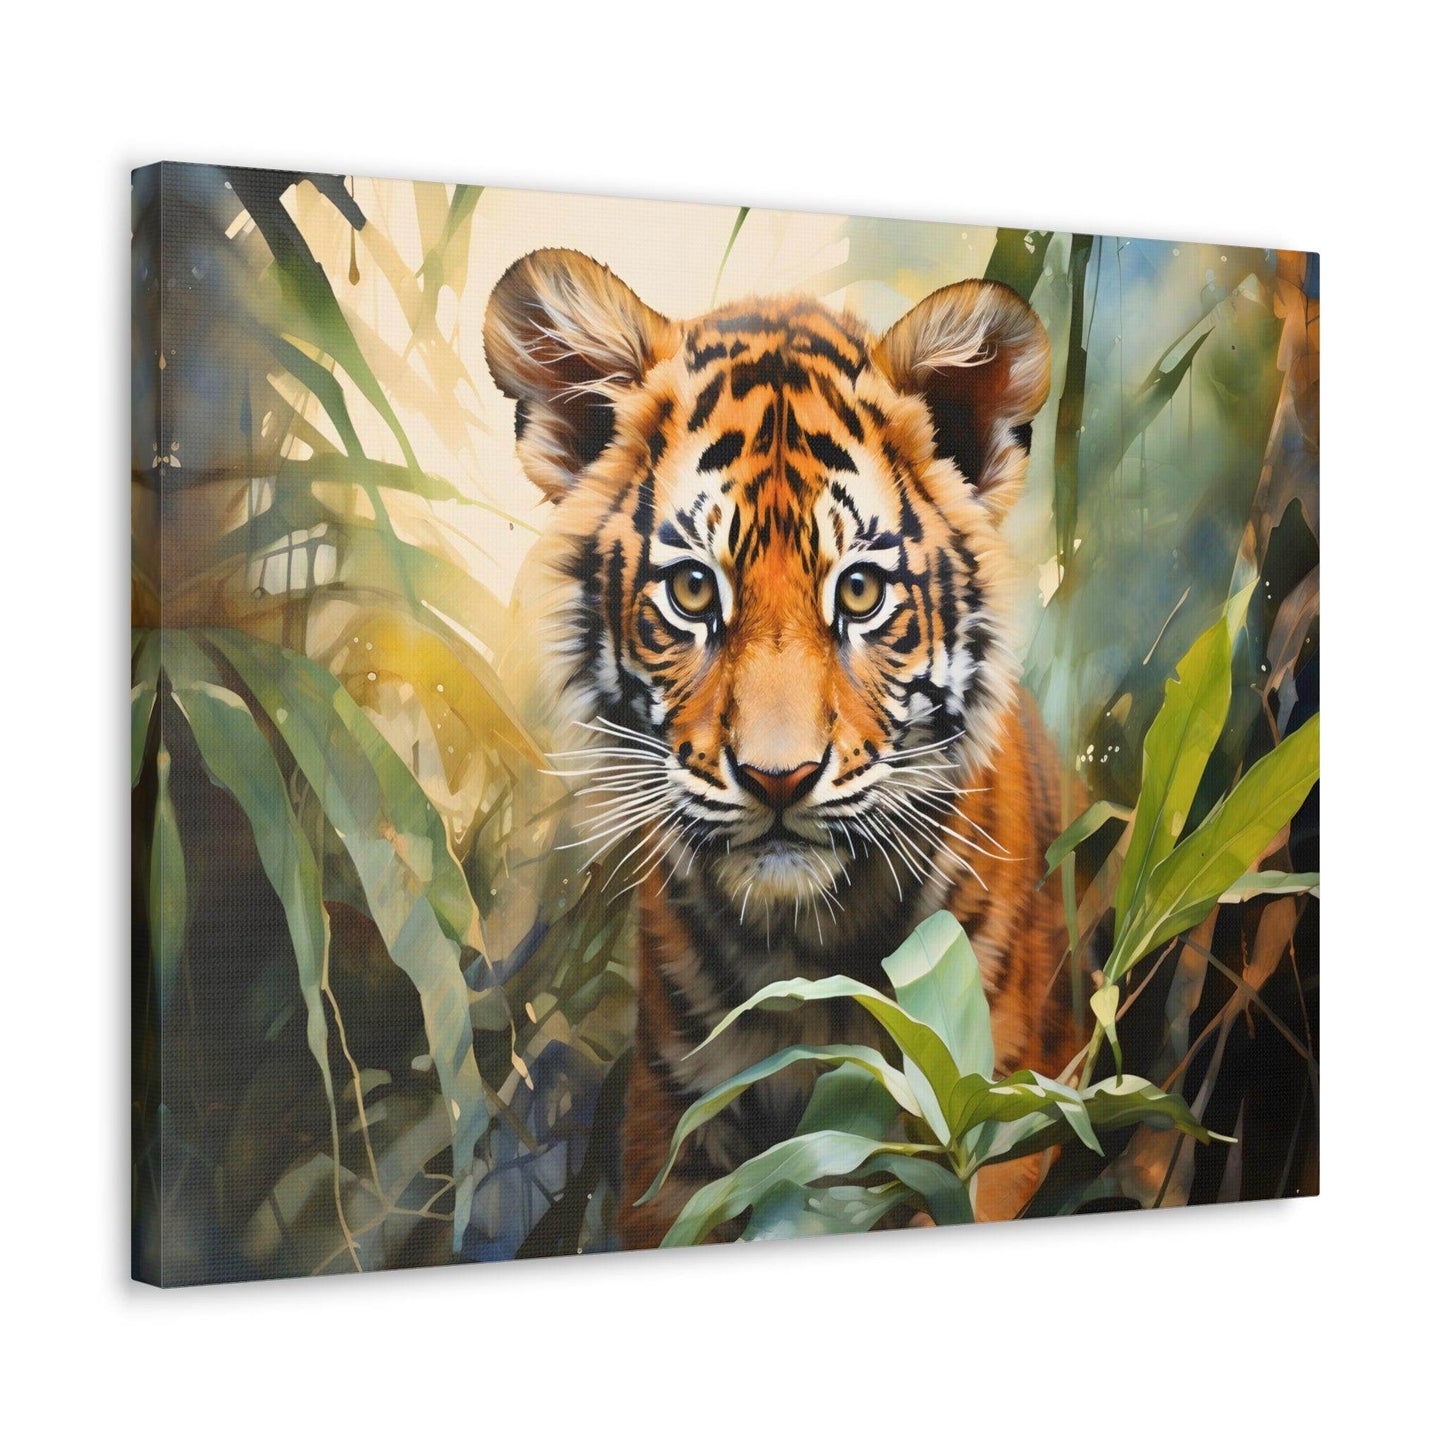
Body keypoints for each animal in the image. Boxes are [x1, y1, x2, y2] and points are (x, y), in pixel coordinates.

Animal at [484, 247, 1074, 1247]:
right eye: (691, 590)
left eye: (861, 591)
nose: (777, 778)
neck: (806, 952)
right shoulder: (672, 1136)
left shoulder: (991, 1124)